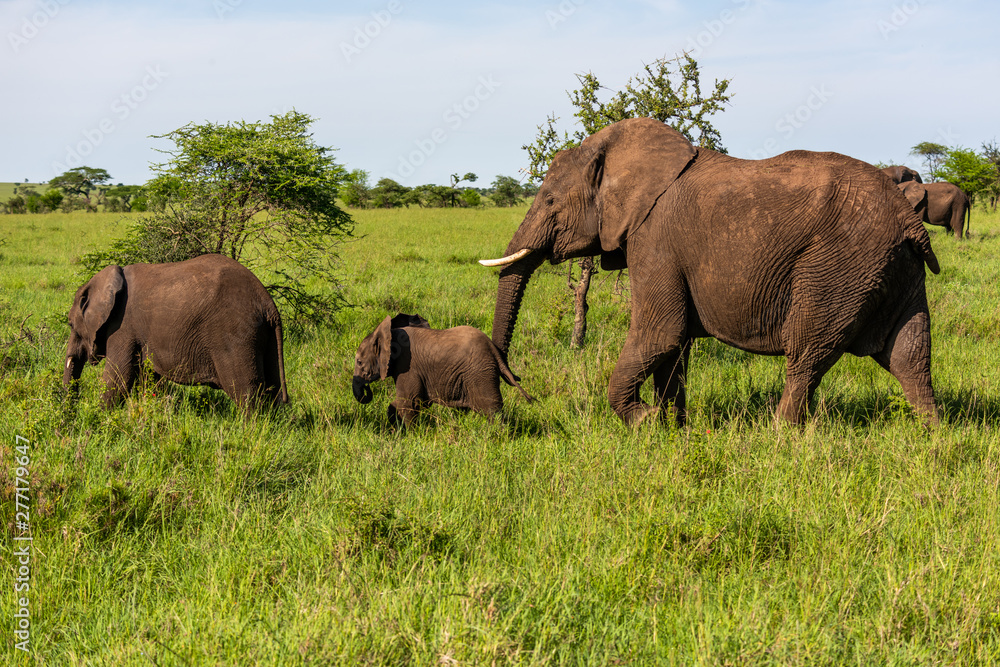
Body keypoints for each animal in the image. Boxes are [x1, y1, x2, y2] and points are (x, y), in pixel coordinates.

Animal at [64, 253, 288, 408]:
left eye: (70, 324)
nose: (71, 416)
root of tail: (267, 302)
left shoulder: (122, 327)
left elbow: (118, 377)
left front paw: (100, 419)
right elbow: (148, 378)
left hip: (236, 335)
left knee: (246, 393)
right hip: (264, 335)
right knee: (273, 389)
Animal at [354, 314, 536, 428]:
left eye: (359, 362)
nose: (365, 386)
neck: (390, 333)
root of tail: (494, 350)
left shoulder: (407, 366)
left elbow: (409, 402)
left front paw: (412, 435)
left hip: (480, 374)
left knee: (492, 411)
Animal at [480, 117, 940, 426]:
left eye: (550, 202)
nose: (524, 392)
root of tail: (908, 219)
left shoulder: (654, 240)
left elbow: (660, 333)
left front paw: (643, 421)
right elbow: (675, 345)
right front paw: (672, 427)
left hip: (839, 266)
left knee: (808, 352)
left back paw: (780, 435)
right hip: (892, 267)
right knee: (910, 353)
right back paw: (930, 435)